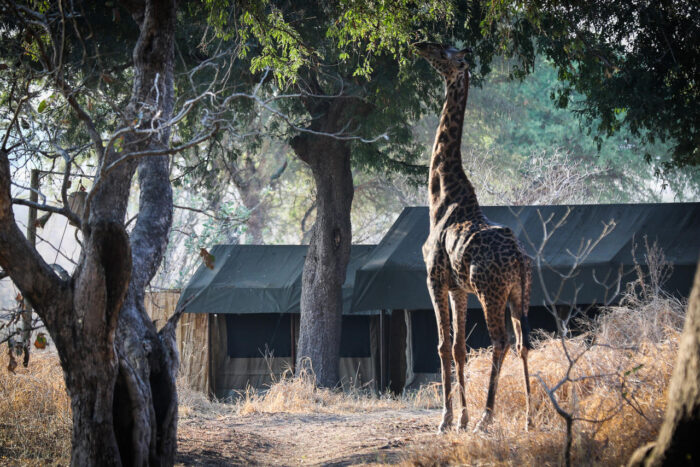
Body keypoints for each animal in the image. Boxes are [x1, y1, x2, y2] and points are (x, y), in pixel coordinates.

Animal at [416, 42, 532, 434]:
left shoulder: (434, 279)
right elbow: (459, 348)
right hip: (519, 293)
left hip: (490, 291)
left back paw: (487, 418)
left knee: (501, 341)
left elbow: (441, 345)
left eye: (442, 52)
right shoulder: (458, 288)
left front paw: (447, 420)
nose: (418, 44)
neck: (442, 195)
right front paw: (461, 419)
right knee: (524, 342)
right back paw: (528, 419)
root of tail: (519, 259)